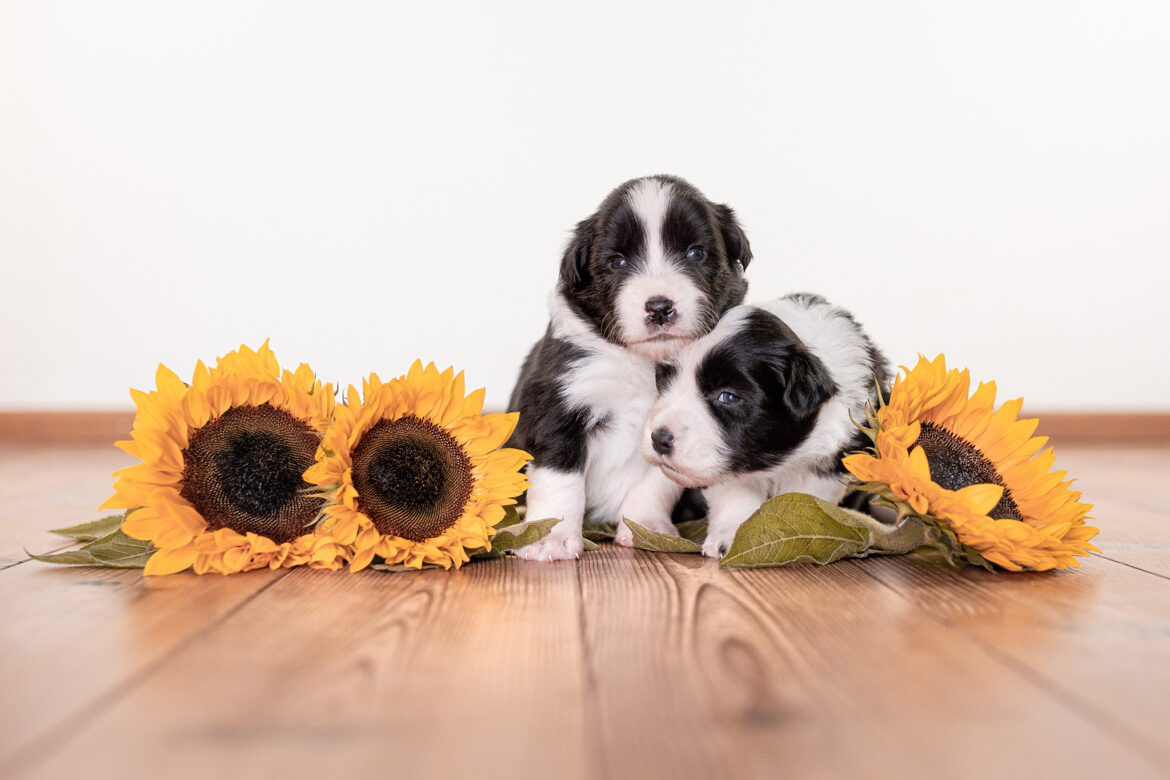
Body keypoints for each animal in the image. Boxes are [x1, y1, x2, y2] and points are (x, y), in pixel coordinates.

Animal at [507, 174, 753, 558]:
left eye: (695, 253)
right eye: (618, 262)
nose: (660, 307)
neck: (644, 366)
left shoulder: (676, 425)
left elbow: (657, 481)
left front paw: (645, 527)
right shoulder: (558, 400)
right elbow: (559, 476)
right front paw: (552, 538)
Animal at [641, 294, 884, 561]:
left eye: (728, 397)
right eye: (664, 380)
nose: (658, 439)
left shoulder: (837, 455)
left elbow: (810, 494)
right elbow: (736, 492)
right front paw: (731, 537)